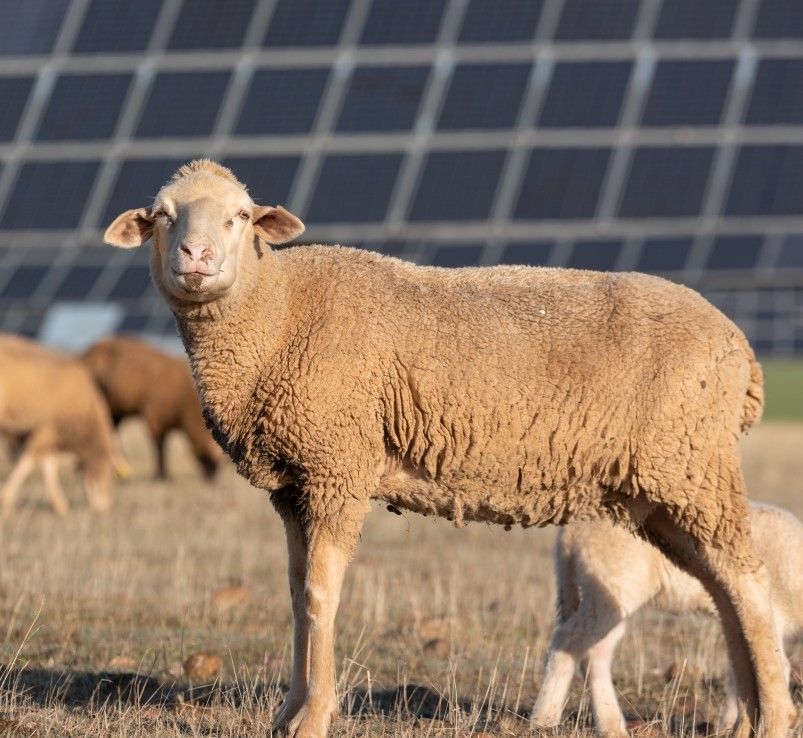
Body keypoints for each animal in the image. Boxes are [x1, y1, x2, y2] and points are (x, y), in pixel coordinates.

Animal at [0, 333, 117, 516]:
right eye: (111, 474)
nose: (105, 508)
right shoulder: (48, 428)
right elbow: (28, 462)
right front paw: (6, 499)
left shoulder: (46, 435)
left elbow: (48, 467)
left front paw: (59, 505)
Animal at [80, 335, 221, 480]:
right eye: (207, 458)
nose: (213, 478)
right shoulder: (154, 416)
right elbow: (159, 446)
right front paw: (160, 474)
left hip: (115, 411)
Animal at [532, 501, 803, 734]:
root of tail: (570, 532)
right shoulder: (767, 614)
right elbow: (771, 666)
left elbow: (743, 670)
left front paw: (728, 725)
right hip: (612, 582)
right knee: (569, 639)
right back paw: (544, 719)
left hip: (606, 592)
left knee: (595, 652)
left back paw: (611, 726)